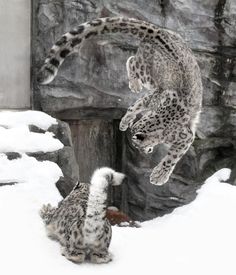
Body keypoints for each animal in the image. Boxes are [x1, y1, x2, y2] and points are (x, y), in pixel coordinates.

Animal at [37, 16, 202, 185]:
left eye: (139, 146)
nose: (146, 151)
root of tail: (159, 31)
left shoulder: (184, 136)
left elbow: (172, 156)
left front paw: (158, 176)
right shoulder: (153, 98)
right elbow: (135, 106)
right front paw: (124, 122)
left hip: (149, 77)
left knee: (132, 61)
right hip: (147, 75)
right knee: (132, 61)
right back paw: (134, 85)